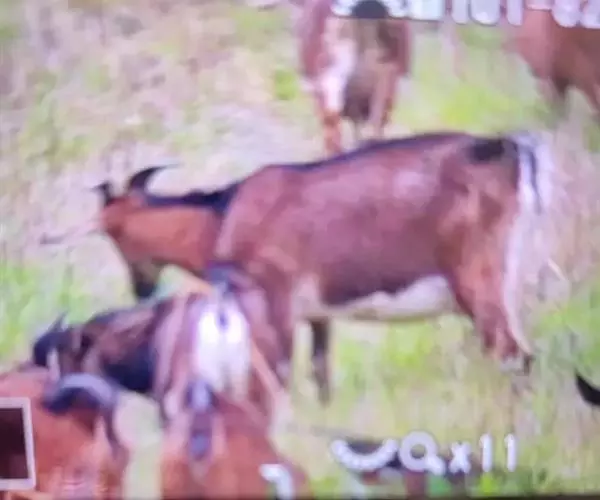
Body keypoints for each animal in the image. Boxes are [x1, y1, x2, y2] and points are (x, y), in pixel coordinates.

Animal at [193, 131, 554, 401]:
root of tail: (509, 151)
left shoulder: (276, 302)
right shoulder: (315, 313)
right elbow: (319, 372)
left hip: (479, 281)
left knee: (515, 355)